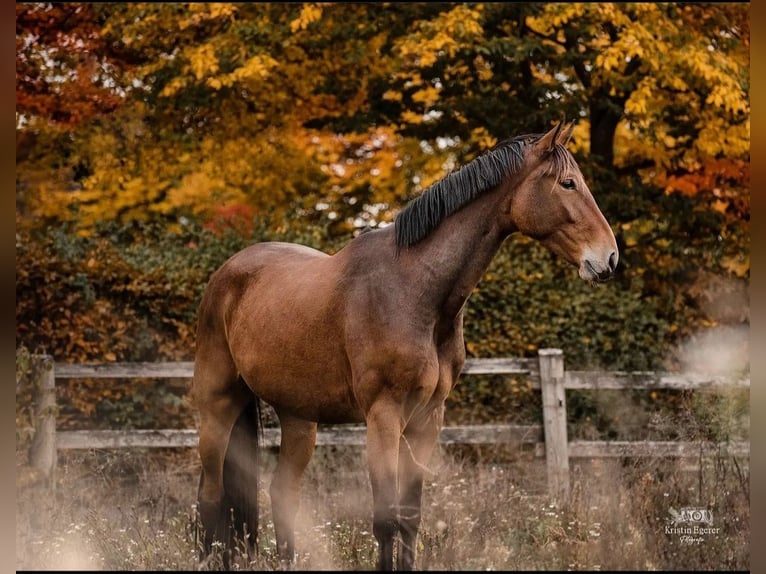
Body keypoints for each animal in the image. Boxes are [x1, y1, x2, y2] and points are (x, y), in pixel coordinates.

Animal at [191, 121, 618, 570]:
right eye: (568, 183)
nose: (608, 258)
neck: (414, 289)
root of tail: (226, 274)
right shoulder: (384, 417)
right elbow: (384, 519)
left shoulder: (427, 420)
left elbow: (410, 517)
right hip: (218, 405)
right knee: (211, 495)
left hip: (298, 417)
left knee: (281, 493)